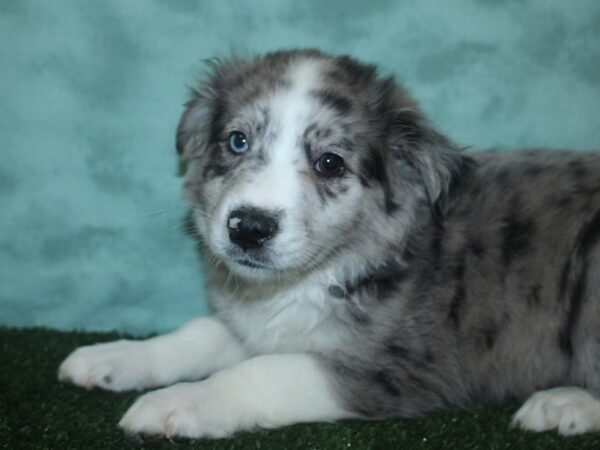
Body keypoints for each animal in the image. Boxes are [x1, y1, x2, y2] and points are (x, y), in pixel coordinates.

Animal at [58, 50, 600, 440]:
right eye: (237, 141)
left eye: (330, 163)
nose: (248, 227)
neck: (325, 273)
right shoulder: (263, 325)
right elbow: (199, 333)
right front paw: (113, 357)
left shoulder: (403, 367)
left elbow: (262, 372)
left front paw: (176, 403)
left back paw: (564, 403)